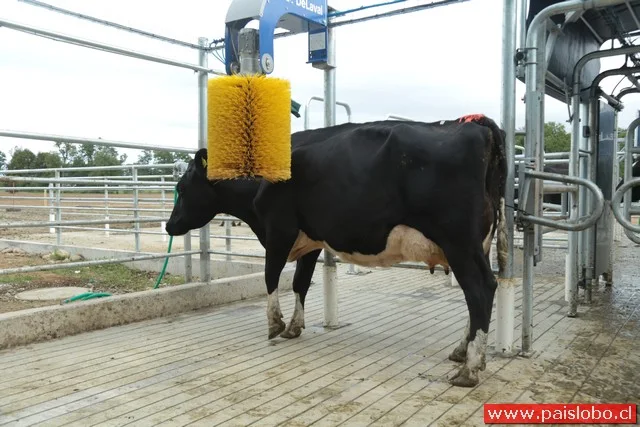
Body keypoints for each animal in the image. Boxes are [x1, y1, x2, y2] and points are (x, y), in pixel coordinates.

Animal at [168, 115, 508, 390]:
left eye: (182, 188)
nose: (170, 226)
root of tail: (476, 126)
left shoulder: (279, 230)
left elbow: (270, 276)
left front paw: (274, 324)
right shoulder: (309, 240)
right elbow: (300, 283)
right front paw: (294, 327)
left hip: (459, 241)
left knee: (480, 290)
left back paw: (469, 369)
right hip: (478, 243)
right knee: (478, 294)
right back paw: (463, 352)